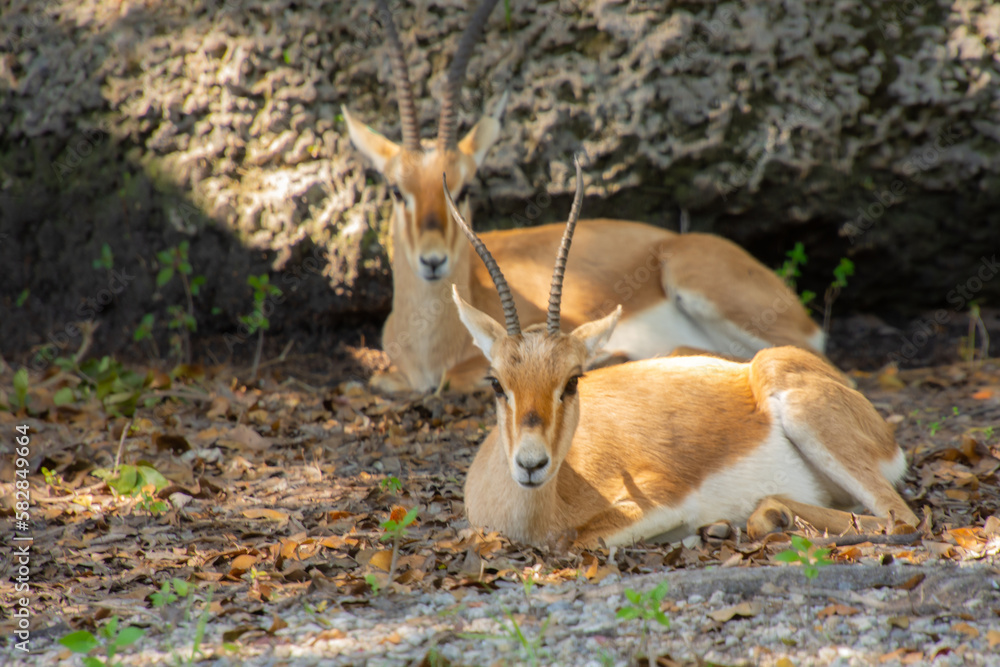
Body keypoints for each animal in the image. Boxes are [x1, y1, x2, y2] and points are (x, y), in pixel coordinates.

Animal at [450, 159, 919, 547]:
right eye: (497, 383)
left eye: (572, 380)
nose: (531, 464)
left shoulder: (661, 498)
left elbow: (580, 540)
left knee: (901, 519)